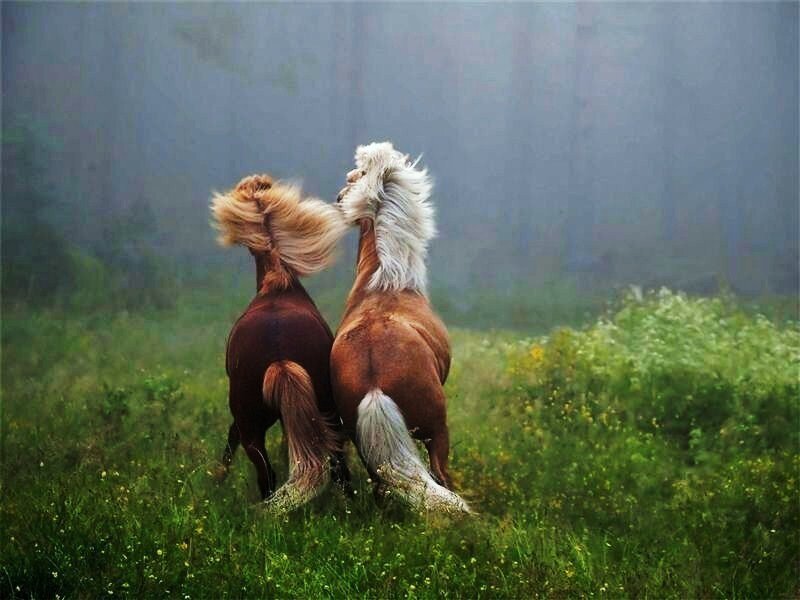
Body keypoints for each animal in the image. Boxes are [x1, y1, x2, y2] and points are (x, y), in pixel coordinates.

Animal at [210, 173, 352, 512]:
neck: (277, 286)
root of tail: (279, 352)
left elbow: (229, 442)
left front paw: (217, 479)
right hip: (324, 411)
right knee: (336, 465)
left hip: (251, 423)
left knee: (269, 475)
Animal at [330, 142, 470, 514]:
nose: (339, 198)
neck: (386, 282)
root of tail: (374, 383)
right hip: (437, 431)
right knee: (440, 478)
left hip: (365, 443)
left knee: (383, 486)